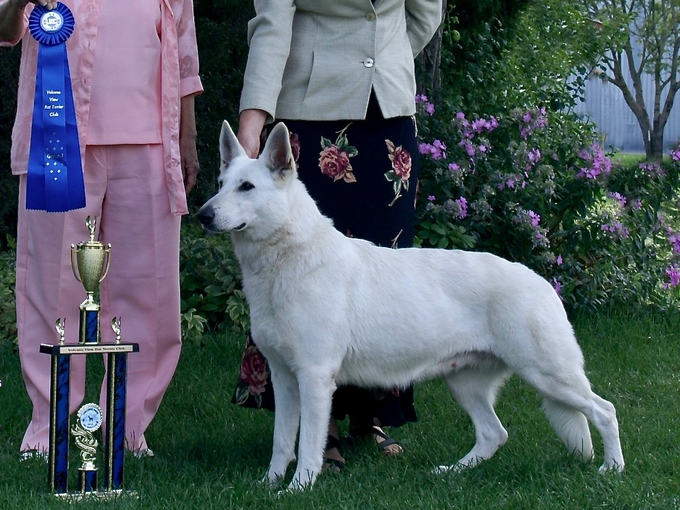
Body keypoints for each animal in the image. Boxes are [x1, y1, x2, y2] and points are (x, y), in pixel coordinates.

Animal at [195, 120, 620, 490]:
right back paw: (452, 472)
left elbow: (307, 446)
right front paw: (268, 486)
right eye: (220, 185)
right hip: (467, 385)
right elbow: (282, 443)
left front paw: (297, 489)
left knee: (605, 411)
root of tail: (543, 284)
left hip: (548, 375)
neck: (287, 260)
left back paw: (612, 469)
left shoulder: (314, 378)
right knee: (493, 434)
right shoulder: (284, 379)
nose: (202, 215)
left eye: (247, 187)